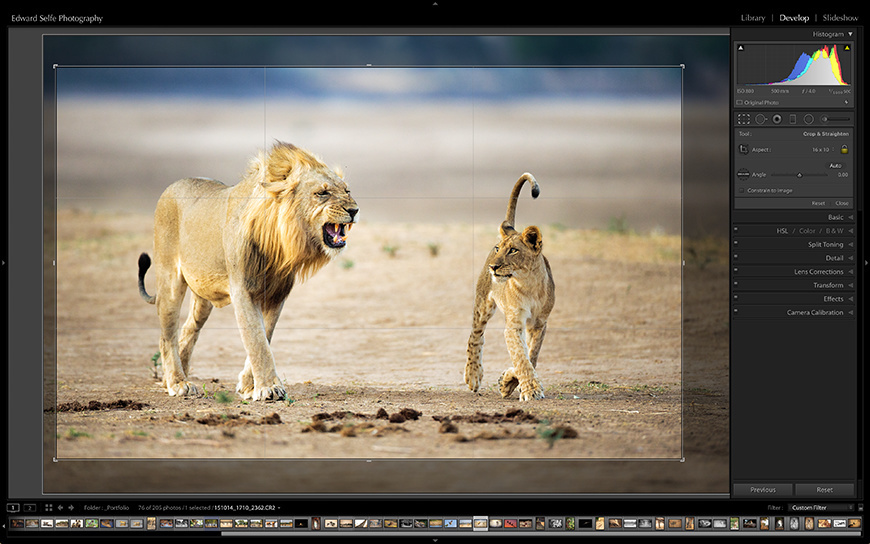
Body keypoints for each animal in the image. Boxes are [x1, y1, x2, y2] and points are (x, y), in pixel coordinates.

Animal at [138, 141, 358, 400]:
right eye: (322, 193)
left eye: (347, 190)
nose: (354, 210)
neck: (280, 241)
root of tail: (172, 186)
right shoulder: (242, 289)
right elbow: (256, 339)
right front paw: (268, 388)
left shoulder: (277, 294)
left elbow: (266, 335)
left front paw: (248, 386)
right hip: (170, 280)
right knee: (167, 335)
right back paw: (177, 383)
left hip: (203, 296)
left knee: (189, 328)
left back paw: (171, 378)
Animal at [464, 173, 555, 401]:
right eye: (498, 248)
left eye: (513, 250)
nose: (493, 267)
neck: (528, 283)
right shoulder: (514, 323)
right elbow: (520, 357)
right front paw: (531, 389)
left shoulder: (540, 324)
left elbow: (531, 355)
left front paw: (509, 382)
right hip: (483, 303)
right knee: (475, 336)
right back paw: (473, 375)